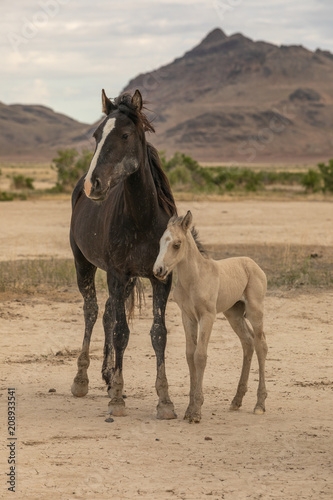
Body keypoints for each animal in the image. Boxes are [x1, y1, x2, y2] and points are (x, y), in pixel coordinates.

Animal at [70, 89, 178, 418]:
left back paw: (106, 376)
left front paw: (165, 401)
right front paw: (117, 397)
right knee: (92, 311)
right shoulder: (117, 275)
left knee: (106, 312)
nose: (93, 184)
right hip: (84, 264)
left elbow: (159, 333)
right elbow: (121, 332)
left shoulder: (160, 279)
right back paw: (82, 380)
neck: (142, 218)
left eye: (126, 135)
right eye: (96, 135)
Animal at [153, 210, 268, 422]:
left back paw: (259, 404)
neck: (194, 279)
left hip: (255, 311)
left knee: (261, 345)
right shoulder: (187, 316)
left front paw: (196, 412)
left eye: (177, 244)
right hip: (233, 314)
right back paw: (236, 400)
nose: (158, 271)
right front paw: (189, 408)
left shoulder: (207, 316)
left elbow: (200, 356)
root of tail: (252, 263)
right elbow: (190, 355)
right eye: (160, 242)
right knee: (248, 342)